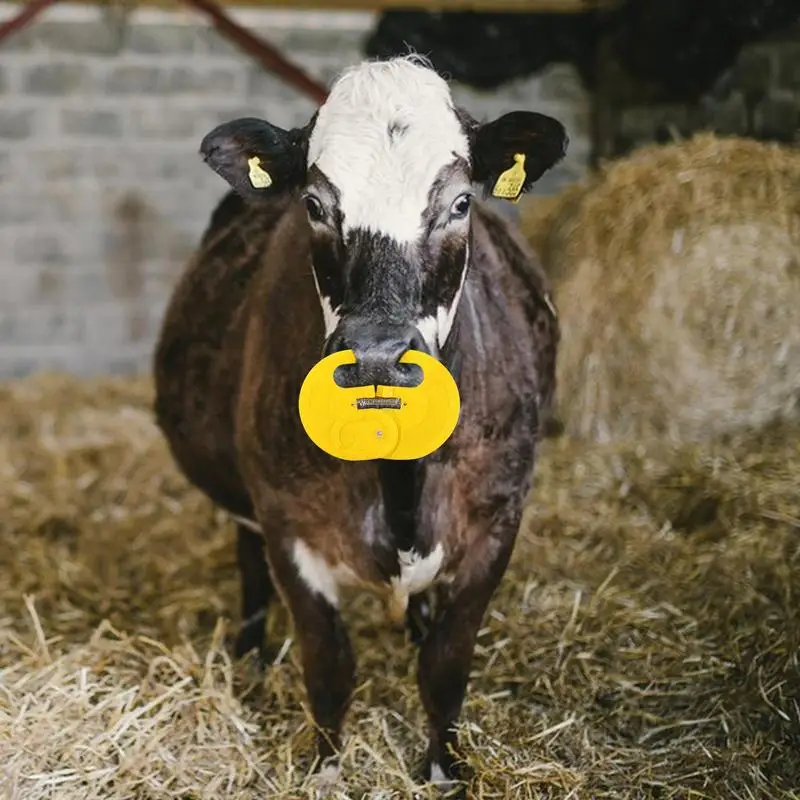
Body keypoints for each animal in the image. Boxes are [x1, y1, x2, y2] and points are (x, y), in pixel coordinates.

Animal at [153, 54, 566, 791]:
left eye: (461, 203)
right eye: (315, 205)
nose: (377, 356)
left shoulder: (498, 517)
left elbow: (446, 665)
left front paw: (443, 767)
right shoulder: (288, 522)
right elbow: (329, 667)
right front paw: (324, 768)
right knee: (248, 563)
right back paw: (250, 651)